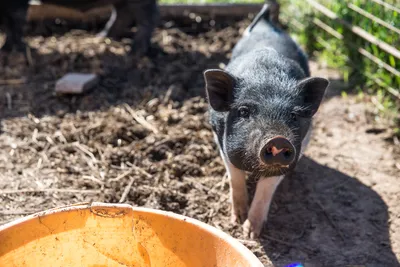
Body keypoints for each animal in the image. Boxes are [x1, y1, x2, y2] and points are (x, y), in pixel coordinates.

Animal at [0, 0, 159, 56]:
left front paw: (10, 50)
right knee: (121, 13)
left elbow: (15, 21)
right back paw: (102, 35)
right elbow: (10, 23)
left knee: (148, 15)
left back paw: (135, 51)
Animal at [203, 0, 328, 239]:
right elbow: (235, 177)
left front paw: (251, 233)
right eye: (244, 111)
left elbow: (266, 188)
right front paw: (237, 219)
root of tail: (267, 24)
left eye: (293, 115)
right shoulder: (220, 138)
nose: (278, 139)